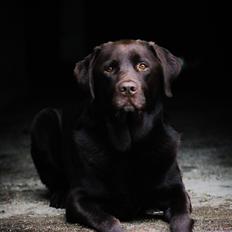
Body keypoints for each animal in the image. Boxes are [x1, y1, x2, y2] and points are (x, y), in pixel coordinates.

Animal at [30, 39, 194, 231]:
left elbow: (182, 218)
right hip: (43, 120)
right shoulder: (79, 199)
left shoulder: (177, 191)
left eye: (142, 66)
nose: (128, 88)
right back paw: (59, 195)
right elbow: (109, 222)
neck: (130, 147)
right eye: (109, 69)